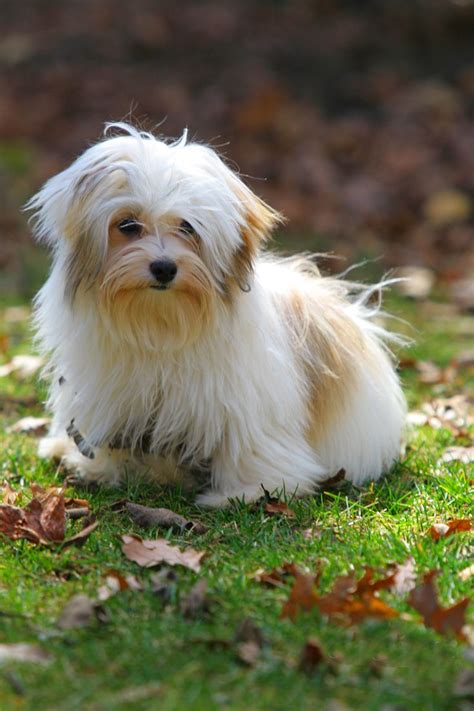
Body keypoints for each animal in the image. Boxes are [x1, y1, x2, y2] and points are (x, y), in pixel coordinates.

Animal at [27, 125, 408, 508]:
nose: (164, 267)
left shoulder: (244, 400)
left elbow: (249, 443)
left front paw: (248, 491)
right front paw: (100, 469)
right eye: (128, 224)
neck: (161, 324)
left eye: (187, 227)